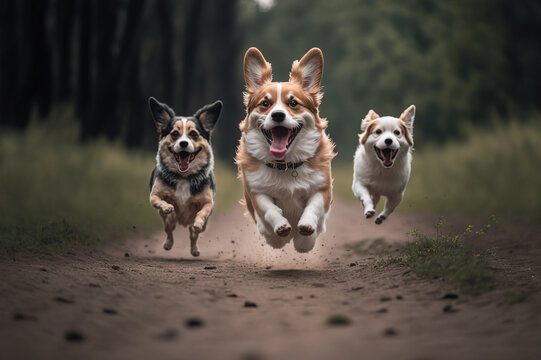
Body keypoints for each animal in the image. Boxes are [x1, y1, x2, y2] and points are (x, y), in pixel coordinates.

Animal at [148, 97, 221, 258]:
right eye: (175, 133)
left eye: (193, 134)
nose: (183, 143)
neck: (184, 177)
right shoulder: (154, 194)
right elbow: (157, 200)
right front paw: (167, 206)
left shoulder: (208, 202)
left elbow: (202, 212)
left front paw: (198, 222)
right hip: (169, 221)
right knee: (169, 228)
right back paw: (168, 243)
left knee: (193, 234)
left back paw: (194, 248)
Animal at [235, 47, 334, 253]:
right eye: (265, 104)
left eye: (293, 103)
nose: (278, 115)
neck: (285, 164)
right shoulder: (256, 191)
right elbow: (268, 209)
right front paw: (280, 227)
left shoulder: (322, 188)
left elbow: (313, 207)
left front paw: (306, 233)